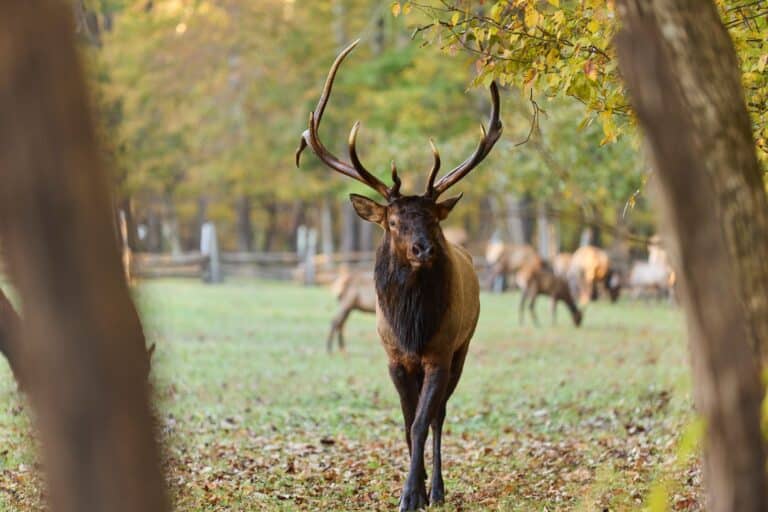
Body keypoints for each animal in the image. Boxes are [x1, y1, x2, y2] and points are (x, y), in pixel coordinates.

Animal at [296, 41, 504, 512]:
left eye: (432, 218)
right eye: (392, 222)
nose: (424, 249)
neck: (412, 326)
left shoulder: (439, 353)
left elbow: (422, 423)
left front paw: (415, 494)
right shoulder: (393, 356)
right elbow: (406, 423)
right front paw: (414, 488)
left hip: (464, 346)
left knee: (442, 416)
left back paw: (440, 488)